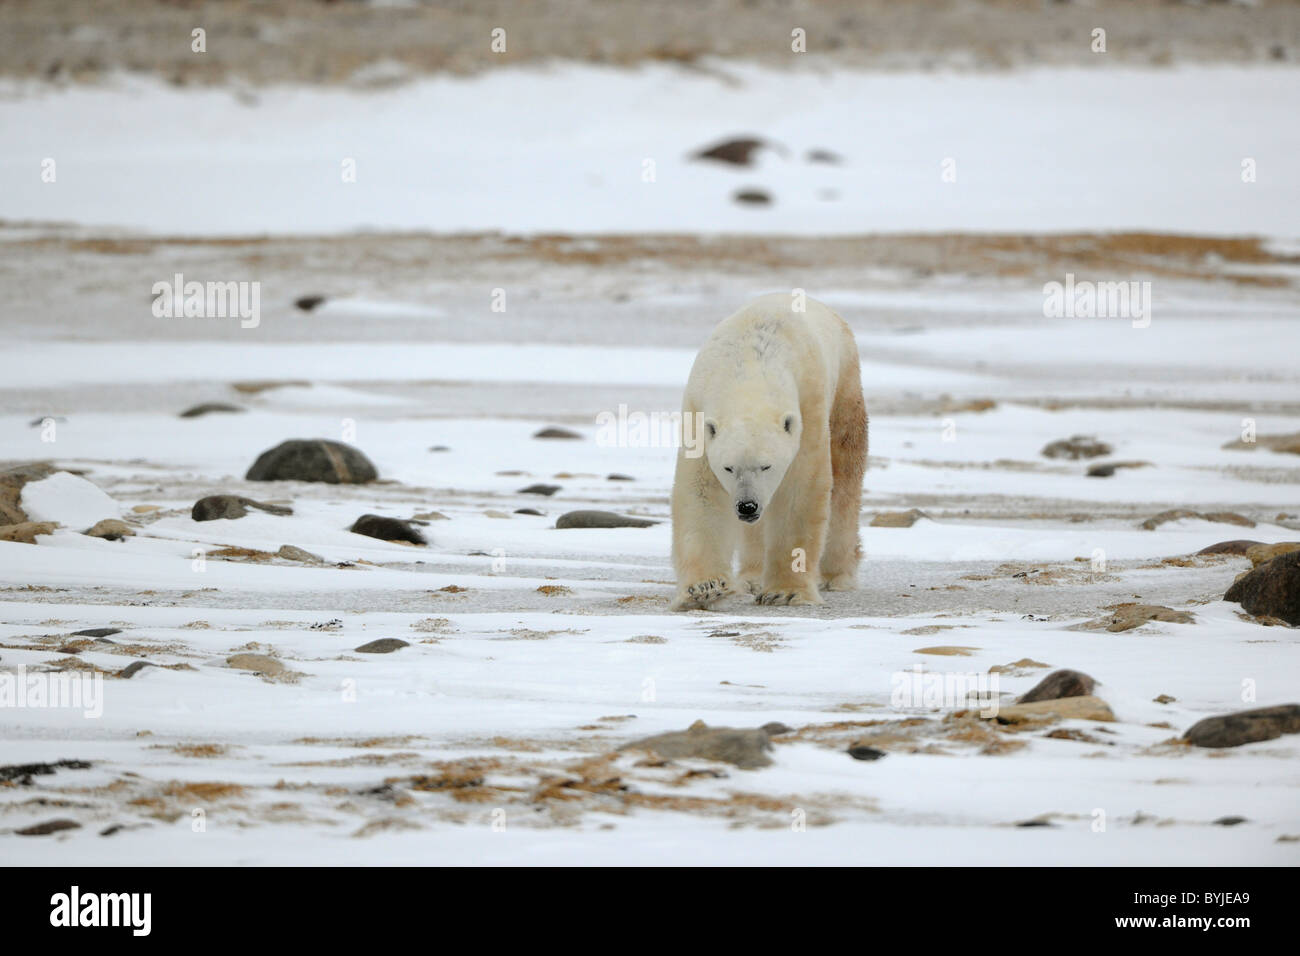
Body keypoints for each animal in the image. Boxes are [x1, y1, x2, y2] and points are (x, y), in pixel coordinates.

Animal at [670, 291, 863, 608]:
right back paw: (752, 577)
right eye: (728, 467)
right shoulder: (699, 409)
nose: (747, 506)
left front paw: (785, 592)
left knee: (845, 477)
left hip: (846, 386)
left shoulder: (807, 407)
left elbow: (799, 493)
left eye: (767, 465)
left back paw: (836, 575)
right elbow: (700, 490)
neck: (750, 368)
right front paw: (705, 588)